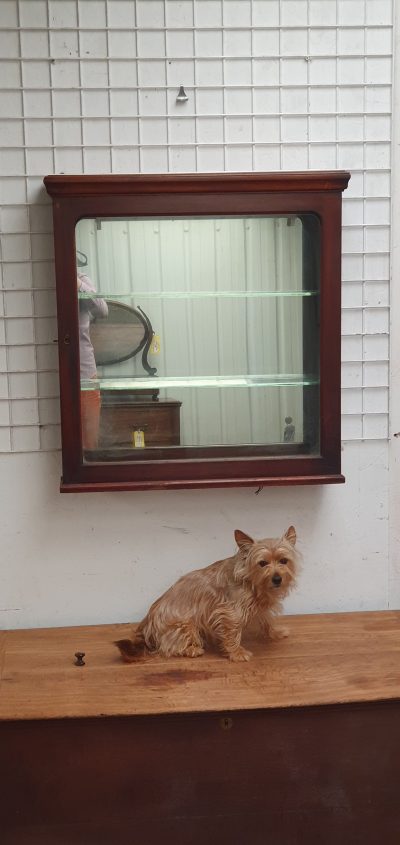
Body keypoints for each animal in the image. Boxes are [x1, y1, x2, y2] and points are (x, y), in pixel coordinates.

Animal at [115, 524, 296, 664]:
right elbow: (232, 633)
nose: (277, 579)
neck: (250, 580)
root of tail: (146, 627)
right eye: (262, 563)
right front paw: (237, 653)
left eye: (284, 561)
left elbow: (267, 620)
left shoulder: (259, 606)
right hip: (186, 626)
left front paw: (276, 633)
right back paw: (192, 650)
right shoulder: (229, 612)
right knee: (167, 647)